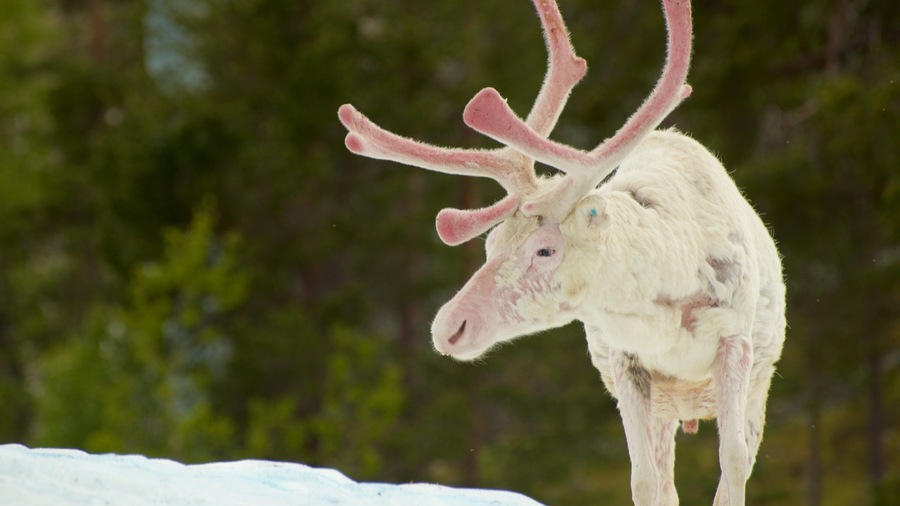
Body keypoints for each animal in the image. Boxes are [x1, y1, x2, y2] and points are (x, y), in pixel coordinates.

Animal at [338, 0, 786, 504]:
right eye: (490, 244)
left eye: (546, 250)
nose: (449, 326)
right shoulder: (625, 359)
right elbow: (643, 480)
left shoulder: (736, 343)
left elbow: (734, 464)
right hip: (667, 406)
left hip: (755, 379)